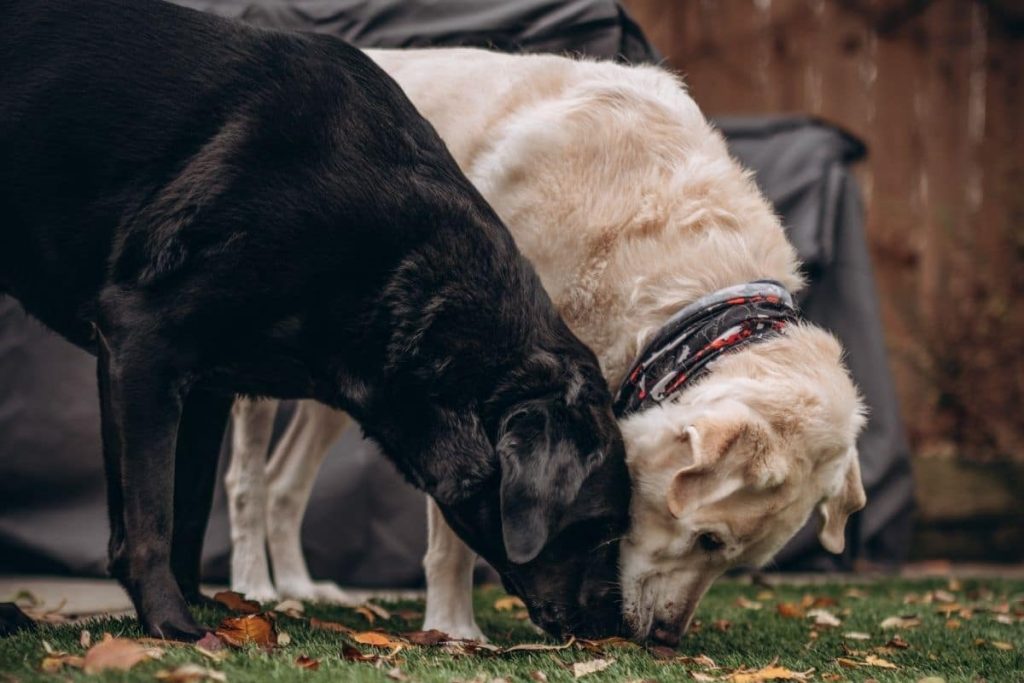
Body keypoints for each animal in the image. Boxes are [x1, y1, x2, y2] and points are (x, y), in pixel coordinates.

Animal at [0, 0, 626, 643]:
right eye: (603, 529)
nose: (624, 631)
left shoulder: (203, 385)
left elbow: (189, 507)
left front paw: (202, 604)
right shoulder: (140, 340)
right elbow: (152, 514)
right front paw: (174, 624)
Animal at [224, 45, 864, 643]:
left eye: (739, 560)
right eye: (708, 539)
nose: (665, 639)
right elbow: (454, 538)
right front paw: (455, 628)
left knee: (284, 482)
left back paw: (300, 587)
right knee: (248, 481)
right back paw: (255, 589)